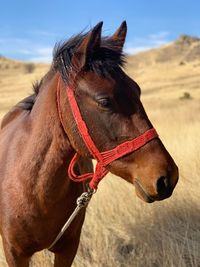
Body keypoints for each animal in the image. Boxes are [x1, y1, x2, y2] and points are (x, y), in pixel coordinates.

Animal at [0, 21, 178, 267]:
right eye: (104, 101)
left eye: (138, 90)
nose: (167, 176)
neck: (33, 189)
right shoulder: (15, 254)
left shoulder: (67, 249)